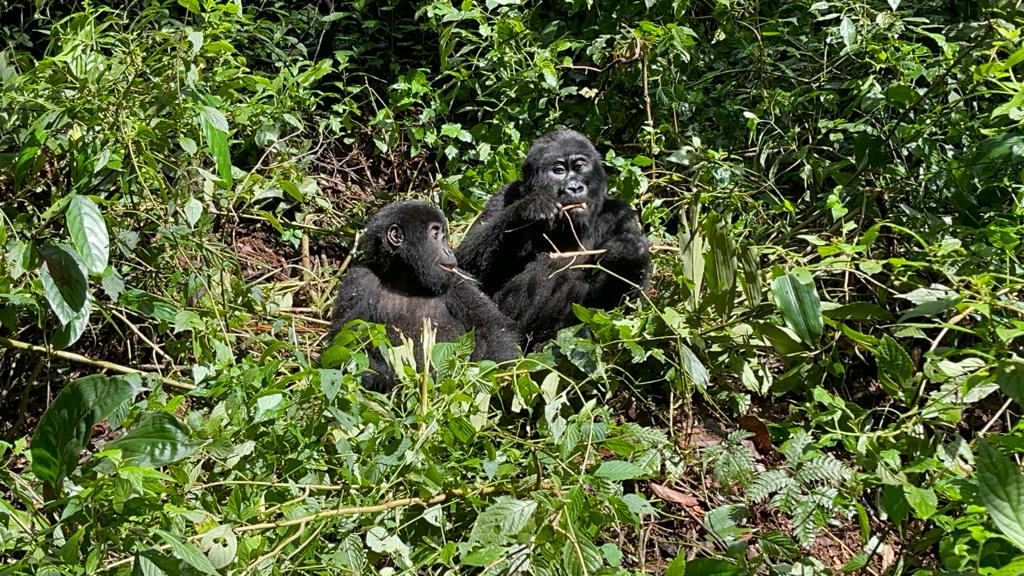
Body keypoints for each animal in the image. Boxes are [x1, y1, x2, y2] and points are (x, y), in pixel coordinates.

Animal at [329, 199, 520, 387]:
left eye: (444, 237)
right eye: (436, 235)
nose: (448, 250)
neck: (405, 282)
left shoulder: (458, 281)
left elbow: (491, 329)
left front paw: (503, 378)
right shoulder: (357, 280)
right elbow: (349, 343)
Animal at [456, 130, 647, 344]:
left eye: (579, 167)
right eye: (559, 170)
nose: (575, 188)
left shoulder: (621, 214)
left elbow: (622, 312)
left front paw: (627, 253)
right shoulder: (504, 193)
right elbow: (464, 265)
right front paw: (530, 207)